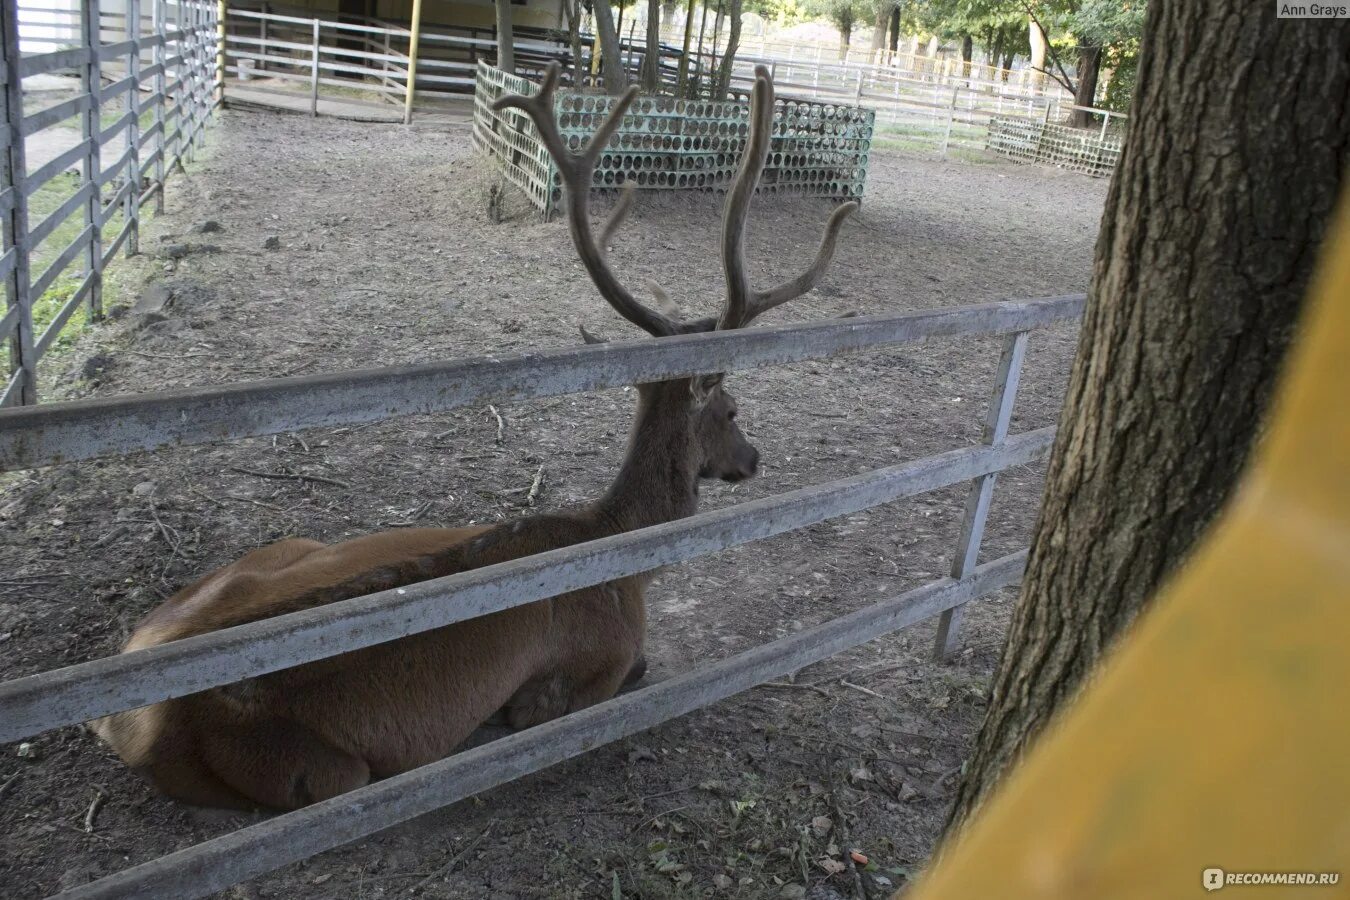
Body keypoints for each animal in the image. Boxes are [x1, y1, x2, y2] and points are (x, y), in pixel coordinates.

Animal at [92, 63, 853, 809]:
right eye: (731, 408)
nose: (754, 459)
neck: (622, 557)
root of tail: (124, 720)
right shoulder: (592, 663)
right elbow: (625, 669)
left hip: (282, 550)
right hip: (316, 771)